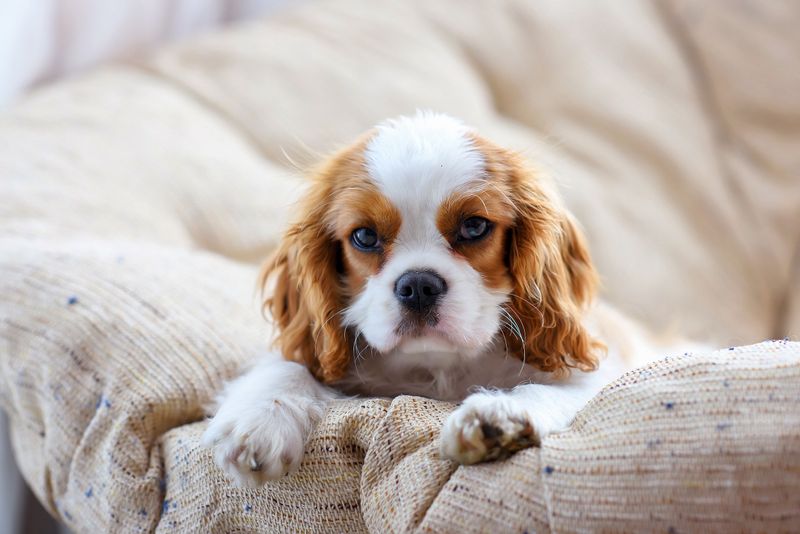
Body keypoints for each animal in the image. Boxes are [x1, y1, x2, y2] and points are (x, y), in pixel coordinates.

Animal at [202, 111, 700, 488]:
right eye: (364, 237)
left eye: (474, 226)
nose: (418, 284)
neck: (439, 367)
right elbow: (288, 365)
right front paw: (258, 422)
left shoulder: (598, 372)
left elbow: (552, 389)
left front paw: (499, 415)